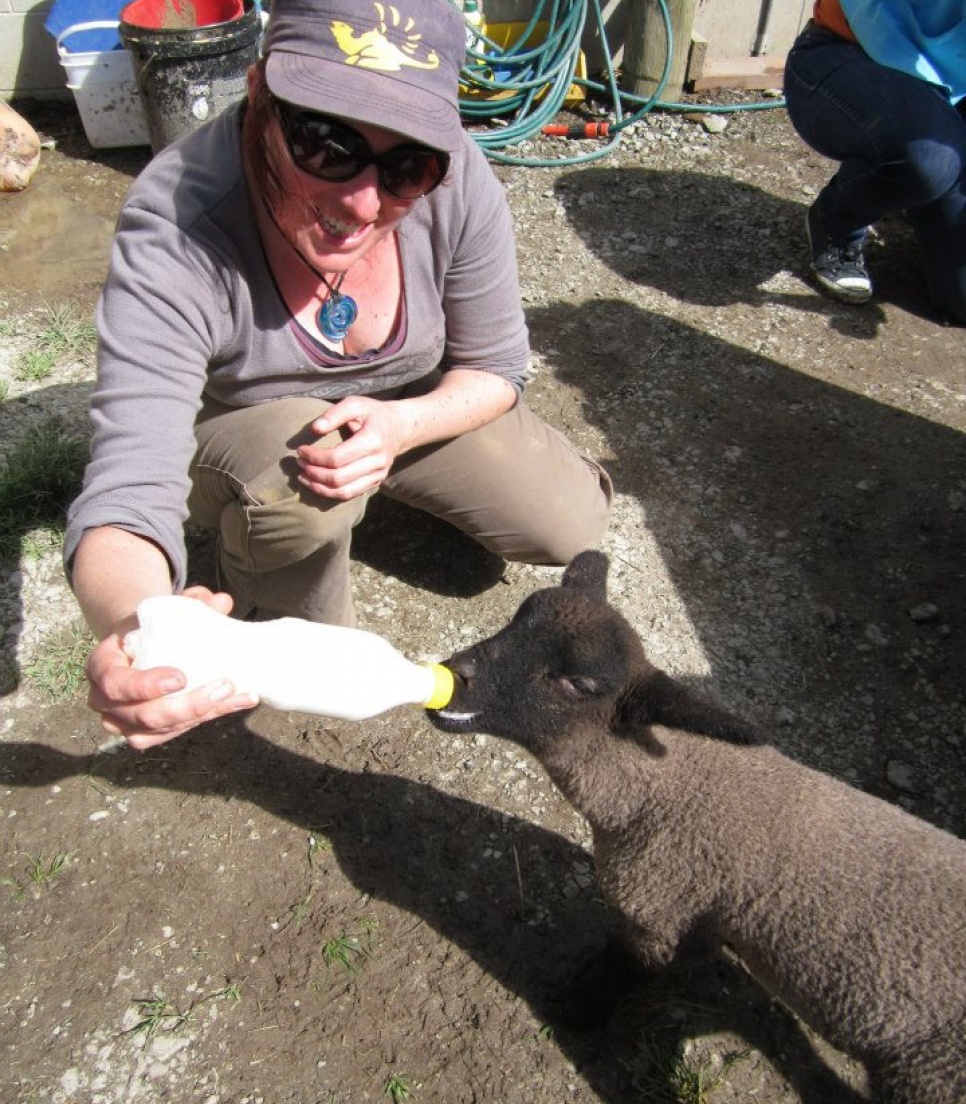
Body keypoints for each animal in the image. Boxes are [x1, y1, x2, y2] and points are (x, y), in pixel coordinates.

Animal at [428, 549, 966, 1104]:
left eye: (577, 685)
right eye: (517, 618)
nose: (454, 674)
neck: (670, 783)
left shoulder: (658, 910)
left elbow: (618, 972)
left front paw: (571, 1011)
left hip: (928, 1074)